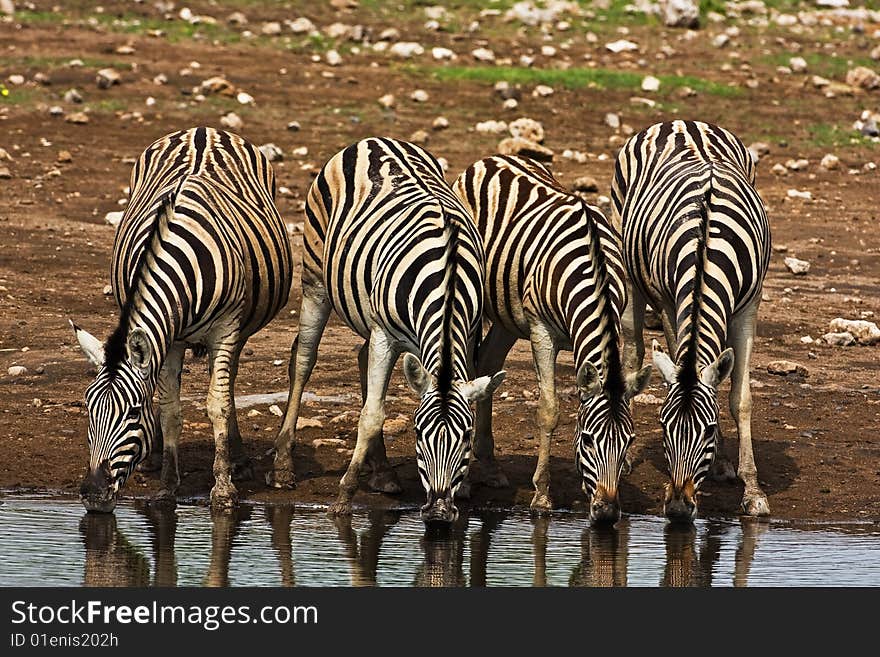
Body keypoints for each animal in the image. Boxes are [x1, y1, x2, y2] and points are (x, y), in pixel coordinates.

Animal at [71, 127, 292, 512]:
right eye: (88, 409)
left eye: (133, 413)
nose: (94, 496)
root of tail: (202, 130)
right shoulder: (169, 338)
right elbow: (170, 408)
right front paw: (167, 486)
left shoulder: (226, 329)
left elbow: (218, 403)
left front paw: (223, 488)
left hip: (240, 329)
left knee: (227, 382)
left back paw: (237, 460)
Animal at [266, 137, 502, 524]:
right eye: (419, 434)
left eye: (467, 437)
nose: (439, 513)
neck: (448, 280)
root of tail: (374, 140)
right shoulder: (385, 335)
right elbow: (372, 415)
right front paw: (344, 495)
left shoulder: (469, 331)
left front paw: (465, 485)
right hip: (316, 279)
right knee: (303, 360)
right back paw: (283, 466)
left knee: (361, 357)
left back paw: (382, 472)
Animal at [454, 154, 652, 524]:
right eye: (587, 440)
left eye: (629, 441)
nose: (607, 513)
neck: (594, 275)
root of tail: (494, 158)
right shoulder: (541, 331)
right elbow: (549, 410)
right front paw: (542, 496)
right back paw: (465, 484)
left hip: (507, 313)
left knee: (488, 362)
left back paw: (490, 467)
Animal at [612, 116, 768, 516]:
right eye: (663, 426)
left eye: (709, 430)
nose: (679, 507)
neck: (707, 248)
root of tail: (681, 121)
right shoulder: (670, 301)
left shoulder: (749, 306)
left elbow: (740, 397)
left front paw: (752, 489)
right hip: (627, 262)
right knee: (633, 349)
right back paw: (628, 454)